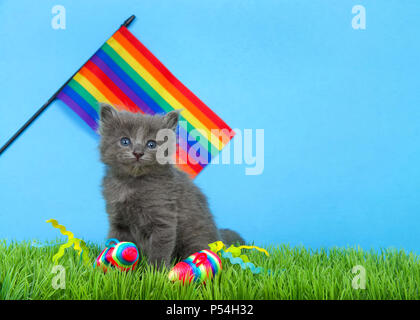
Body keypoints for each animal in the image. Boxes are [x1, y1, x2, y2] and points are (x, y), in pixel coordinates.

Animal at [99, 104, 244, 268]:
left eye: (151, 144)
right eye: (125, 141)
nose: (138, 153)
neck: (133, 183)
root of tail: (219, 238)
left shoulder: (163, 219)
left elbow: (159, 249)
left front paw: (156, 271)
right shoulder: (118, 220)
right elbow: (117, 240)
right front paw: (112, 268)